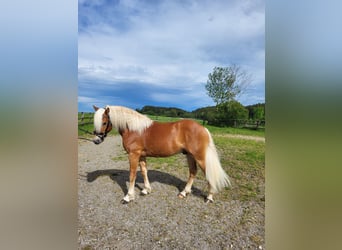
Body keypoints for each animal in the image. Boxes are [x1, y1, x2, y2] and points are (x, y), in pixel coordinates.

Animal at [91, 104, 230, 204]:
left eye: (104, 122)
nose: (96, 140)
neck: (133, 129)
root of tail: (203, 128)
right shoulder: (141, 155)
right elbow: (144, 172)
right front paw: (146, 190)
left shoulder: (133, 155)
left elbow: (132, 175)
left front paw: (128, 197)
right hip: (190, 155)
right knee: (193, 172)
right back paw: (184, 193)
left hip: (200, 157)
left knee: (208, 174)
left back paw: (209, 197)